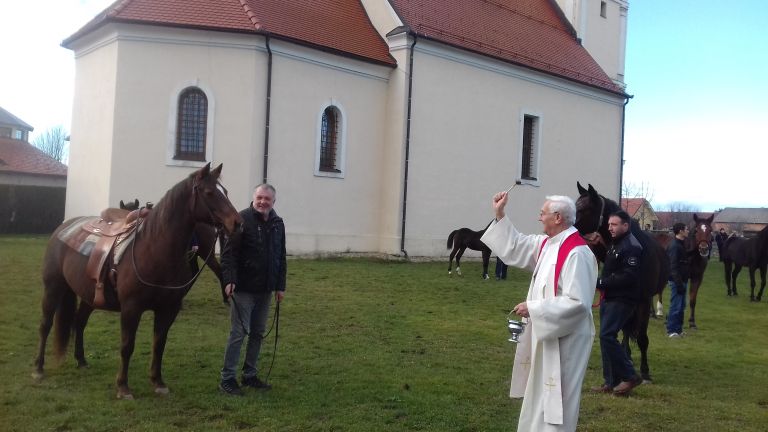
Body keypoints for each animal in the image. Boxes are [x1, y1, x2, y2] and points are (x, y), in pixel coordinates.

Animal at [33, 164, 240, 400]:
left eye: (225, 192)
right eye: (209, 192)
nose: (237, 222)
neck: (154, 249)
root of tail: (63, 228)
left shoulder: (168, 309)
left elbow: (159, 344)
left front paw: (158, 382)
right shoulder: (131, 308)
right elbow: (127, 346)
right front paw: (123, 387)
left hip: (89, 296)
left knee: (80, 321)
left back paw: (81, 360)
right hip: (53, 287)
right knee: (45, 324)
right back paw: (38, 368)